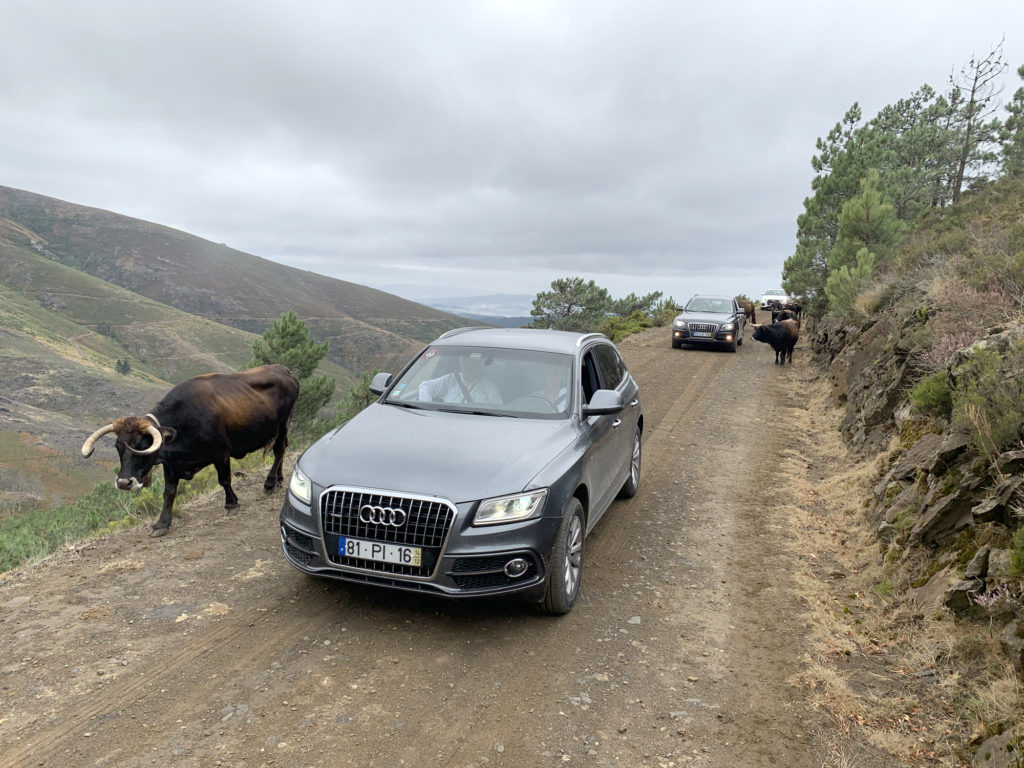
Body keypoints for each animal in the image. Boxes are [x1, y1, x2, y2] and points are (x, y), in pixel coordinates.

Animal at [80, 364, 299, 536]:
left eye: (142, 446)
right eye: (118, 446)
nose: (124, 483)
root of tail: (283, 369)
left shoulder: (221, 452)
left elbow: (224, 479)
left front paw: (231, 504)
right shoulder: (171, 465)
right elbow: (169, 493)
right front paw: (162, 523)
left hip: (282, 424)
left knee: (279, 451)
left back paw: (270, 483)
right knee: (282, 450)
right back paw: (279, 480)